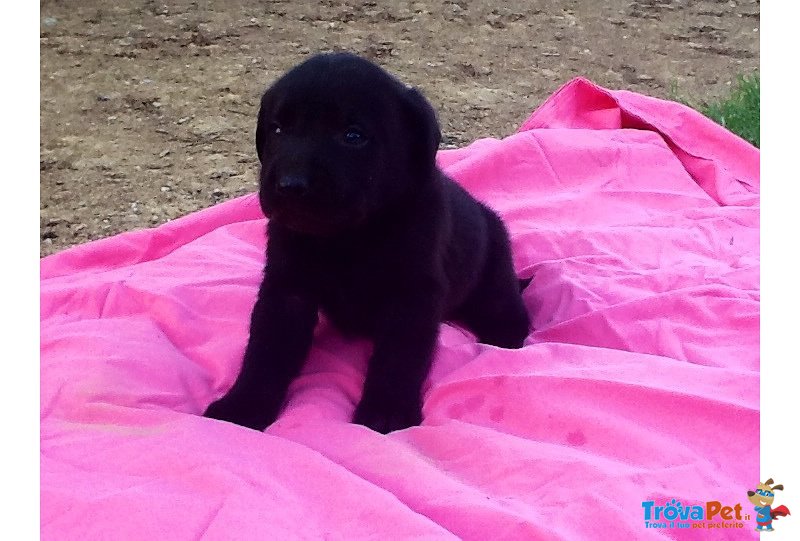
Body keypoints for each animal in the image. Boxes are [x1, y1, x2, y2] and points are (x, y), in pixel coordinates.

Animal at [205, 50, 532, 430]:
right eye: (277, 129)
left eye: (353, 135)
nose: (290, 185)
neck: (348, 238)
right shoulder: (286, 289)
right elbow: (266, 350)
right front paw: (242, 406)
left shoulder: (411, 296)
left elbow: (397, 358)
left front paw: (386, 411)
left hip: (492, 274)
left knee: (508, 307)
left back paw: (504, 332)